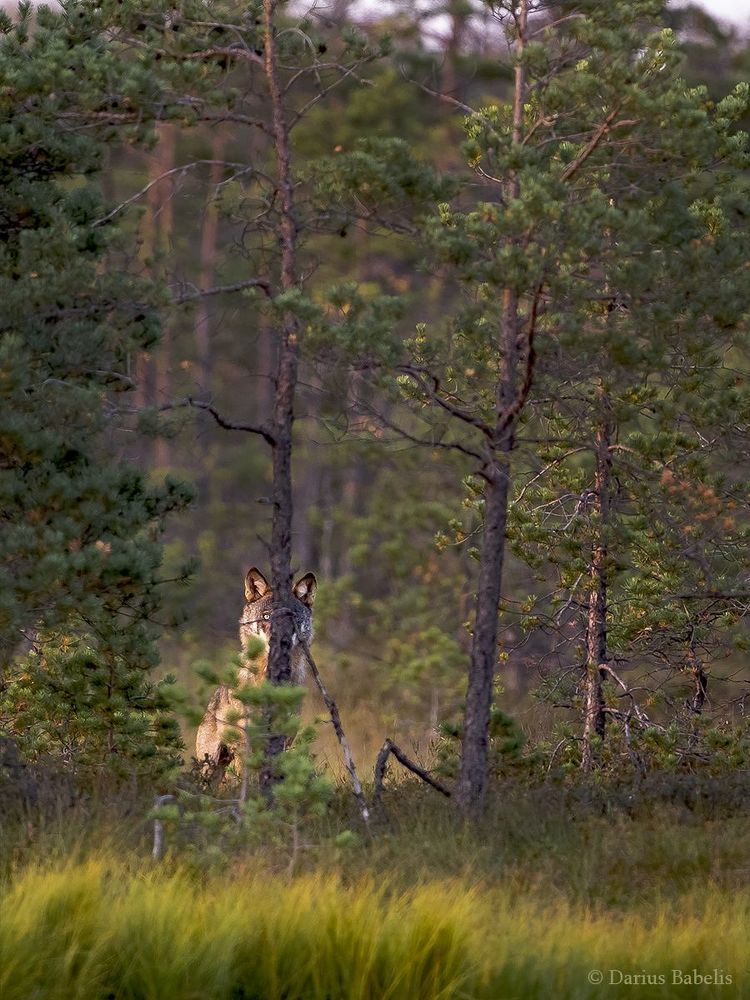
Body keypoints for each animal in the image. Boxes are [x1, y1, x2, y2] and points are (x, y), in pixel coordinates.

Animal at [195, 567, 317, 782]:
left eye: (292, 618)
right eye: (266, 617)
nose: (280, 641)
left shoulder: (282, 739)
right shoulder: (247, 741)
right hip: (211, 764)